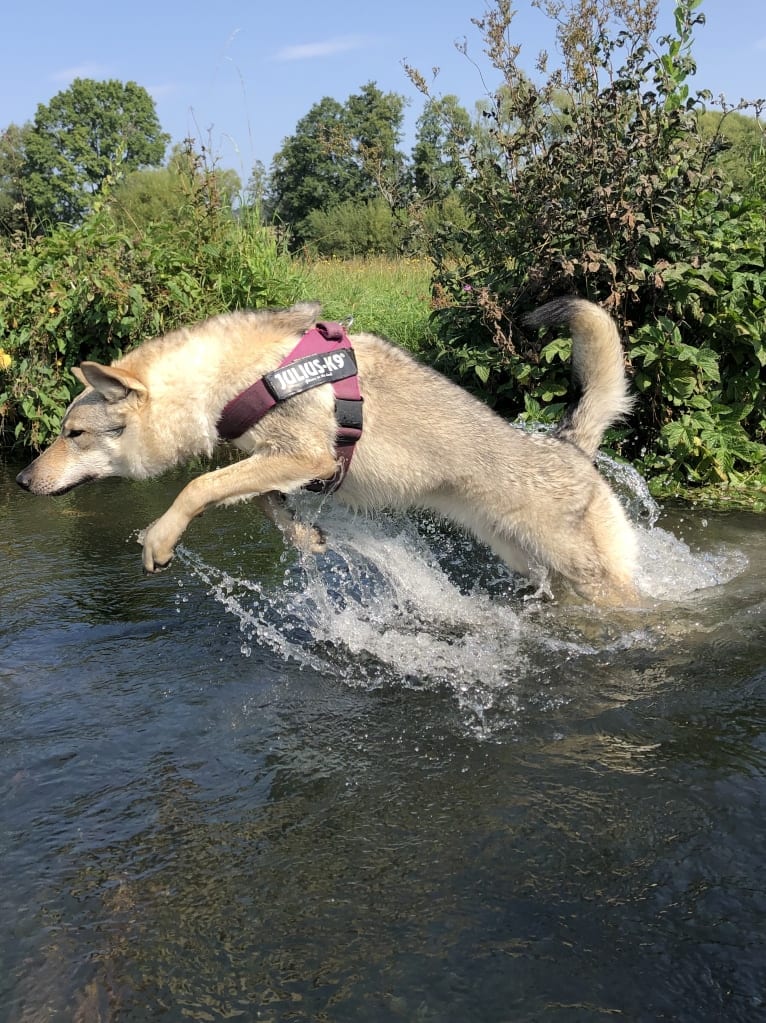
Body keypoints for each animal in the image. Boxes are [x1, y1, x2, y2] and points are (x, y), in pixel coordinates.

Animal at [17, 296, 638, 601]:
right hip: (523, 559)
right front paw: (304, 536)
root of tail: (568, 445)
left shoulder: (307, 456)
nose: (21, 481)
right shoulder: (284, 465)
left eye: (74, 434)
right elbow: (260, 501)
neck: (237, 377)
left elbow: (197, 485)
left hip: (590, 576)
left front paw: (160, 539)